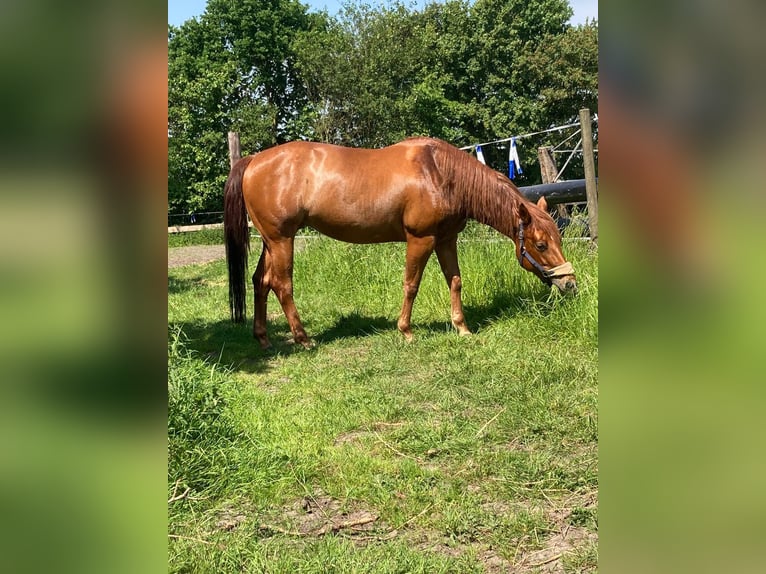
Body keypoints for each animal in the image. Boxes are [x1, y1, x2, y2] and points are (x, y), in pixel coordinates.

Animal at [224, 137, 576, 349]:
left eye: (559, 237)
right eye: (541, 245)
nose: (570, 284)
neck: (441, 174)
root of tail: (254, 160)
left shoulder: (446, 239)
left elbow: (455, 281)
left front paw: (462, 328)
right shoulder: (421, 239)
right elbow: (411, 284)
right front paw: (406, 331)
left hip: (271, 241)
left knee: (260, 281)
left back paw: (264, 339)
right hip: (282, 240)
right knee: (282, 285)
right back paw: (303, 338)